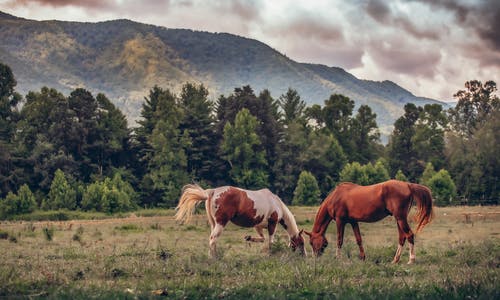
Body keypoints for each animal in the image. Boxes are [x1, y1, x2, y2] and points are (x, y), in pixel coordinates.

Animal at [174, 185, 306, 258]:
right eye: (302, 242)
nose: (304, 256)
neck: (276, 203)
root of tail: (213, 191)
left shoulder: (258, 226)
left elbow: (262, 239)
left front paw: (248, 238)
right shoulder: (272, 224)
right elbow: (270, 241)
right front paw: (271, 254)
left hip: (213, 224)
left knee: (213, 240)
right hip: (221, 223)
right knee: (212, 239)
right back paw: (214, 258)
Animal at [304, 179, 434, 264]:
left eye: (311, 242)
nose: (315, 258)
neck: (336, 196)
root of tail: (407, 185)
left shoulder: (340, 221)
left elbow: (339, 240)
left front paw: (338, 258)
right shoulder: (353, 221)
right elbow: (359, 239)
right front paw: (362, 257)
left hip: (401, 219)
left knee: (410, 235)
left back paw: (411, 260)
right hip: (399, 219)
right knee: (402, 237)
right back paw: (395, 260)